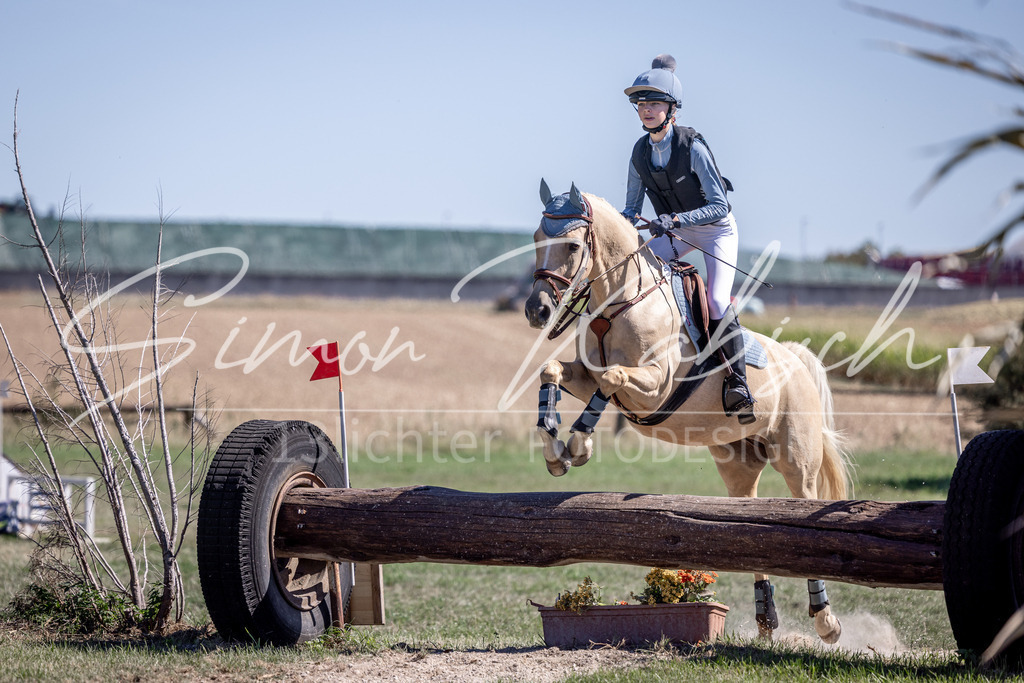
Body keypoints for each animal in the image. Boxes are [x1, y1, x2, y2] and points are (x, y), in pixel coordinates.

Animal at [524, 181, 851, 643]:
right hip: (737, 464)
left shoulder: (654, 386)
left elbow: (613, 380)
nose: (537, 311)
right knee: (754, 525)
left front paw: (579, 443)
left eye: (571, 245)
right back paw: (766, 620)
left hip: (796, 460)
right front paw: (554, 449)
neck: (620, 303)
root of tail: (796, 361)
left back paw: (825, 622)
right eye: (537, 238)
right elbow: (552, 371)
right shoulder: (585, 375)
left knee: (803, 510)